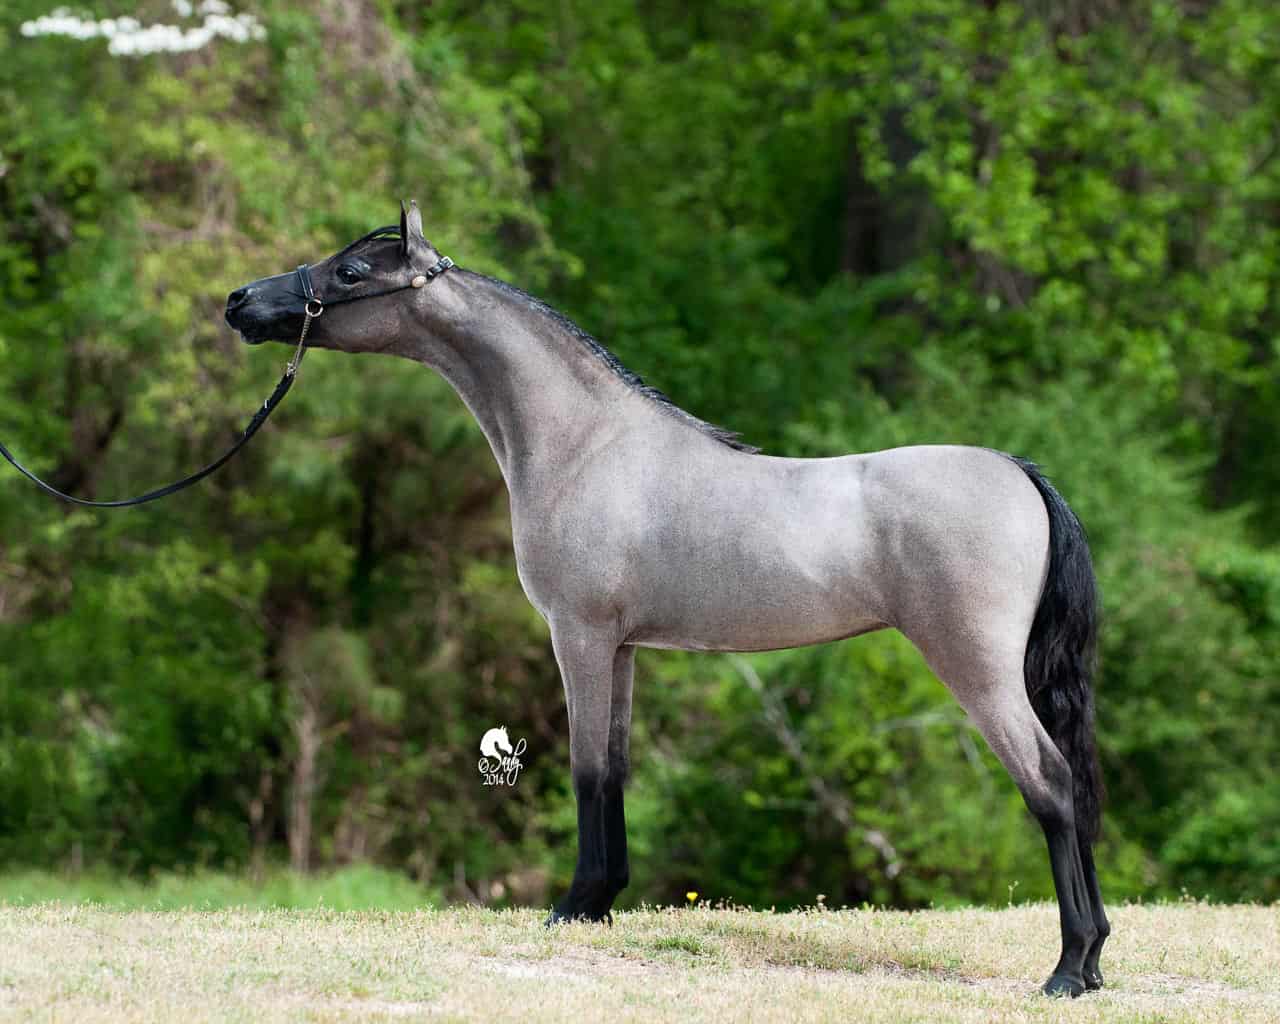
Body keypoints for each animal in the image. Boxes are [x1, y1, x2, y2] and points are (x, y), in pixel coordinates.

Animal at [225, 201, 1109, 997]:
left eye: (350, 272)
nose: (240, 302)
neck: (586, 446)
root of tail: (1021, 473)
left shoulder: (578, 636)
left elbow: (585, 769)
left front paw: (571, 905)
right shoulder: (621, 648)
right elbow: (615, 768)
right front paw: (599, 905)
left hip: (977, 668)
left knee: (1051, 784)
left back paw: (1069, 969)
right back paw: (1095, 959)